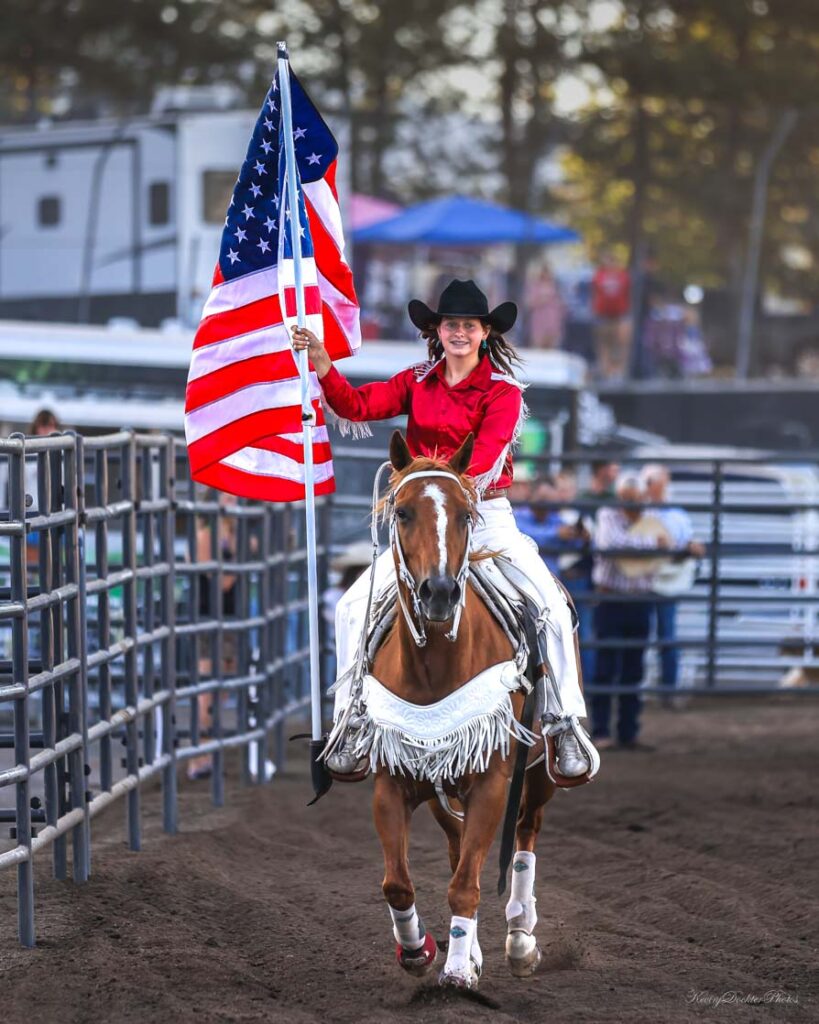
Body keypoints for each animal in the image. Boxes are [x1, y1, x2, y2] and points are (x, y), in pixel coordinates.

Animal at [363, 430, 559, 988]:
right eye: (403, 511)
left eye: (465, 516)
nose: (440, 592)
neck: (436, 664)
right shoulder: (394, 780)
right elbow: (399, 882)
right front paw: (421, 950)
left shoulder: (493, 783)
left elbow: (466, 884)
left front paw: (456, 974)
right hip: (440, 784)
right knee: (456, 846)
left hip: (539, 774)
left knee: (525, 835)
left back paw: (520, 938)